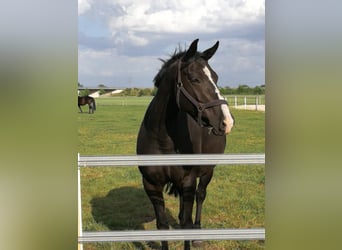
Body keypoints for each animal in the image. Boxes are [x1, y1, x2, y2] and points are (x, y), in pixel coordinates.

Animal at [136, 39, 235, 250]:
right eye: (194, 78)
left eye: (216, 77)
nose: (227, 121)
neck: (163, 138)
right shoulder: (151, 184)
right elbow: (162, 225)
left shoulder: (189, 180)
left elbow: (187, 225)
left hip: (207, 171)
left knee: (200, 195)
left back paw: (198, 232)